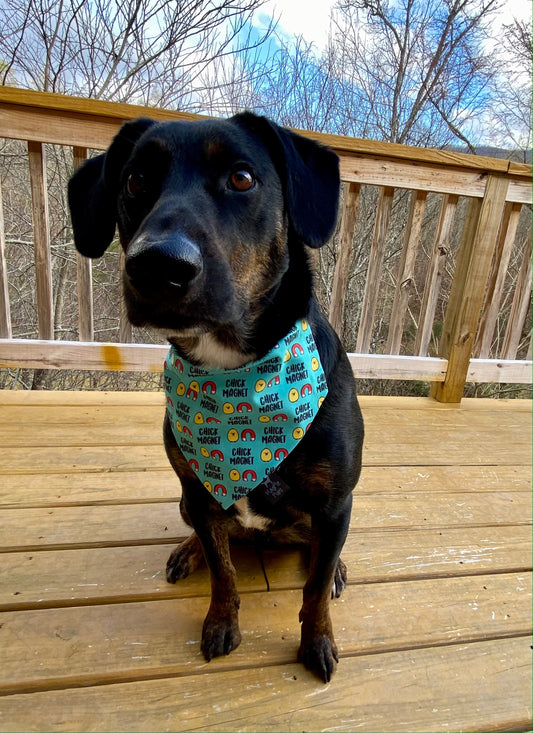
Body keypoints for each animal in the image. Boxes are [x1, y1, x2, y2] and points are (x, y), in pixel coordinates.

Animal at [68, 113, 364, 680]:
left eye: (242, 178)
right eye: (136, 180)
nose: (158, 265)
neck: (236, 378)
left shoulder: (335, 503)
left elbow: (314, 589)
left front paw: (317, 640)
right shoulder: (201, 496)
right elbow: (223, 573)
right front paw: (221, 622)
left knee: (320, 553)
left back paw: (335, 565)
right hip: (187, 500)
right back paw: (187, 552)